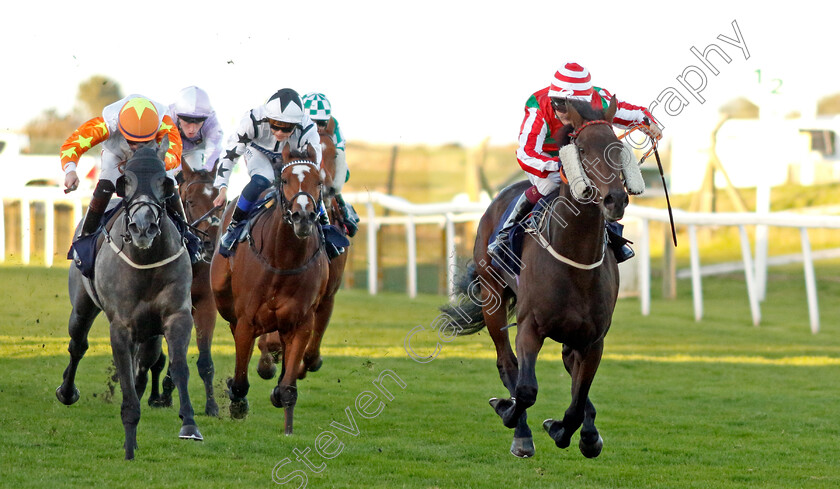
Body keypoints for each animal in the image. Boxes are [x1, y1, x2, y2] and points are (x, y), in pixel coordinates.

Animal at [56, 143, 202, 460]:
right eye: (127, 182)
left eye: (164, 182)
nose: (143, 228)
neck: (145, 261)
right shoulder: (120, 326)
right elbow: (124, 378)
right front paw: (129, 444)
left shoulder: (177, 316)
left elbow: (178, 366)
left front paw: (189, 424)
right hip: (82, 307)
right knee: (78, 345)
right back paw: (67, 391)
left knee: (145, 362)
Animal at [146, 161, 221, 416]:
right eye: (190, 201)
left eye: (221, 200)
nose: (210, 242)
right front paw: (162, 394)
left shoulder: (205, 304)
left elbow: (205, 360)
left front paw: (212, 406)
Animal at [209, 143, 328, 432]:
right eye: (284, 180)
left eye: (318, 182)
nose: (303, 216)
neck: (283, 260)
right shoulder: (247, 321)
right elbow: (241, 379)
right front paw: (237, 403)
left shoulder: (301, 323)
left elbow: (287, 388)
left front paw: (287, 426)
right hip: (223, 297)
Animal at [256, 132, 348, 382]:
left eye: (334, 154)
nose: (327, 188)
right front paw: (270, 357)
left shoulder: (326, 294)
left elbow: (311, 350)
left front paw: (299, 366)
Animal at [446, 96, 644, 458]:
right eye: (581, 148)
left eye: (616, 146)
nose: (615, 198)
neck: (575, 260)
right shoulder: (530, 327)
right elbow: (525, 389)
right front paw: (511, 415)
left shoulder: (593, 339)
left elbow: (578, 398)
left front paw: (574, 433)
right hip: (493, 299)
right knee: (506, 363)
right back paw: (518, 425)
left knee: (569, 369)